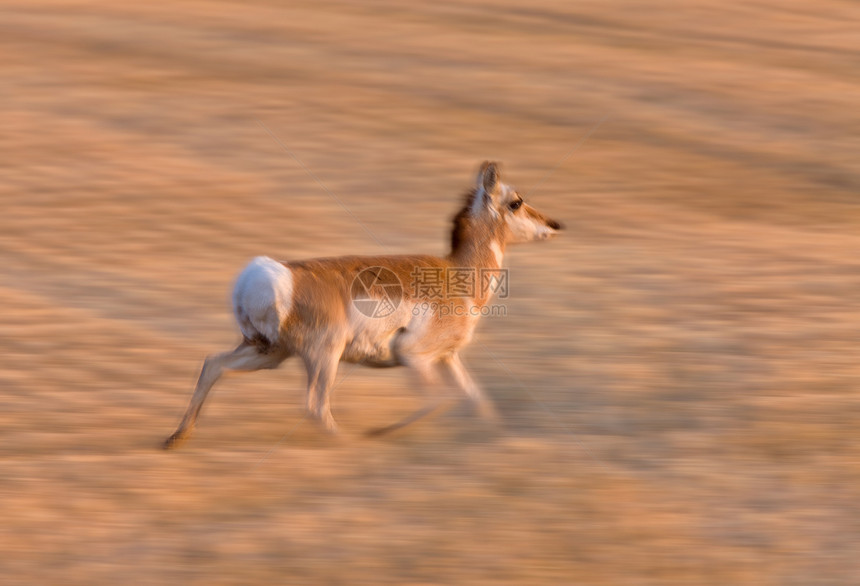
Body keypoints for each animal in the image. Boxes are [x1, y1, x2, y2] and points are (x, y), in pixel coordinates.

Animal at [164, 161, 560, 448]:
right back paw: (349, 443)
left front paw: (493, 435)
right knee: (315, 405)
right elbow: (439, 400)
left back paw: (176, 438)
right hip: (323, 355)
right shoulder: (414, 356)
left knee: (213, 365)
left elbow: (476, 398)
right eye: (516, 201)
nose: (555, 224)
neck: (458, 273)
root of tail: (268, 274)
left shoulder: (448, 358)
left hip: (268, 353)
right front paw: (382, 434)